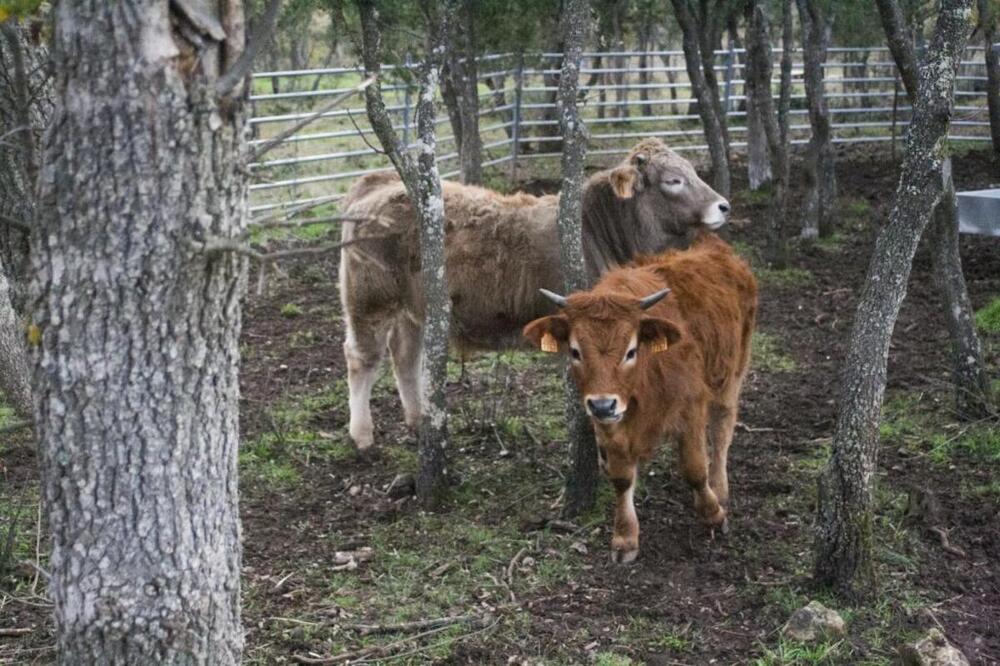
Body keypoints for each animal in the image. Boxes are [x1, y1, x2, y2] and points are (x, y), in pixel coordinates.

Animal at [340, 137, 732, 448]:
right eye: (674, 180)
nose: (723, 206)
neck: (594, 230)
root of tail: (378, 181)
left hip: (414, 308)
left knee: (405, 356)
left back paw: (419, 421)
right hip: (370, 300)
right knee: (362, 358)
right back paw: (362, 435)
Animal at [528, 233, 752, 560]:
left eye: (631, 351)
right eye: (575, 351)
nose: (603, 404)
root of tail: (712, 247)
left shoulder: (691, 407)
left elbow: (695, 468)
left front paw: (713, 513)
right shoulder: (608, 424)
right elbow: (622, 479)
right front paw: (625, 538)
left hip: (731, 375)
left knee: (722, 430)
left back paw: (720, 488)